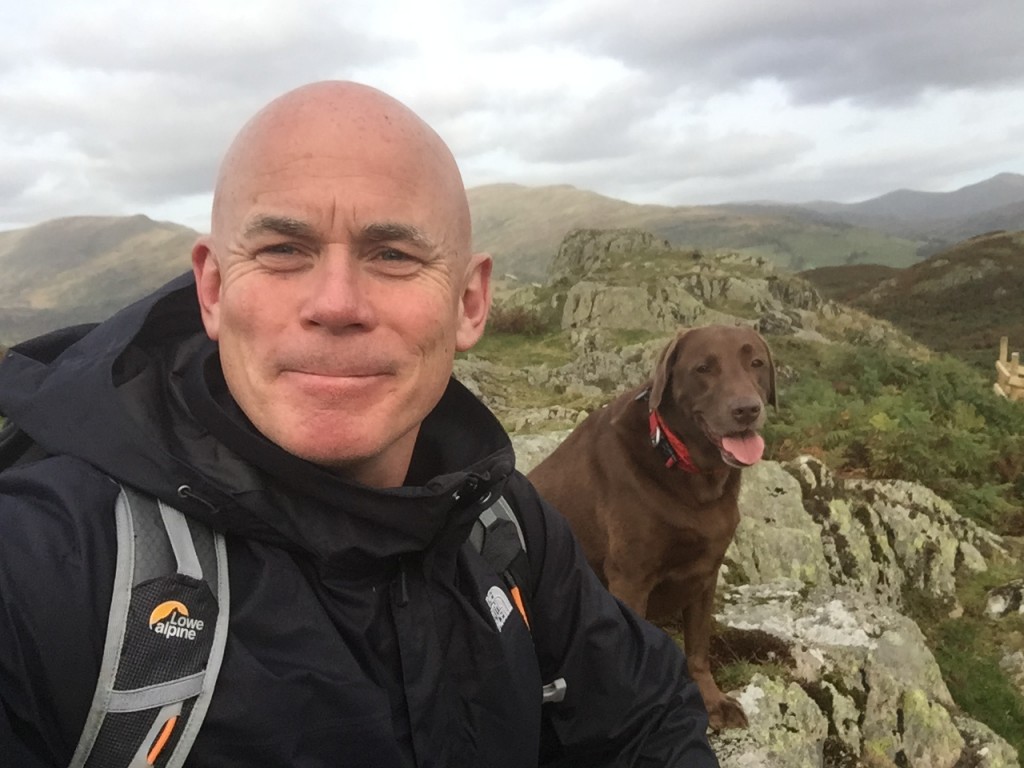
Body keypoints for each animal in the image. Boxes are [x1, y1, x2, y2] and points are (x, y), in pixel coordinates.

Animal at [528, 325, 774, 733]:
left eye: (755, 362)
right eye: (703, 368)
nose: (747, 410)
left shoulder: (706, 575)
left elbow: (698, 650)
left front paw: (713, 701)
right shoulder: (630, 578)